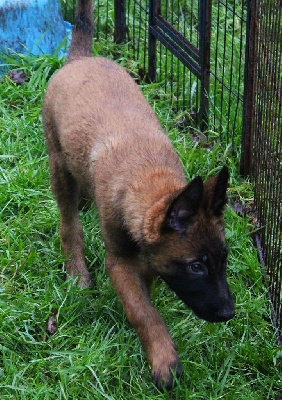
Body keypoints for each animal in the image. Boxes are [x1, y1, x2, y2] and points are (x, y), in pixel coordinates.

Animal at [42, 0, 234, 390]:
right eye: (195, 266)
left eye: (223, 259)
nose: (228, 314)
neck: (151, 179)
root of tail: (81, 58)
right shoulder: (119, 260)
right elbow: (143, 311)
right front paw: (163, 359)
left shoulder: (148, 255)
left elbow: (147, 288)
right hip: (57, 161)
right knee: (69, 223)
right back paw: (77, 271)